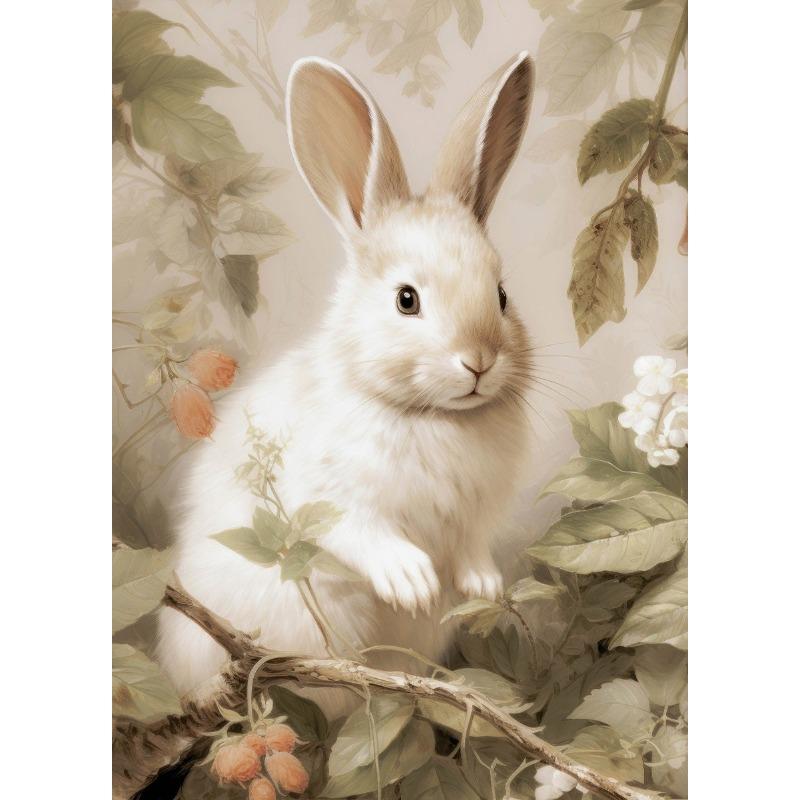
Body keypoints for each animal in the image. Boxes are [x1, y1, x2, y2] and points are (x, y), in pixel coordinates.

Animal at [157, 52, 536, 718]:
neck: (428, 415)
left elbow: (470, 547)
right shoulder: (329, 495)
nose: (479, 361)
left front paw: (483, 584)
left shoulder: (475, 518)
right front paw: (413, 582)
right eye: (406, 300)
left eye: (501, 295)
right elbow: (360, 533)